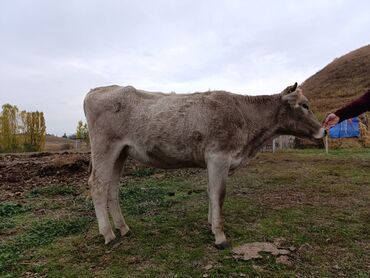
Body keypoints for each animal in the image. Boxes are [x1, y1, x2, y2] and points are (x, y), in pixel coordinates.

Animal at [83, 83, 324, 250]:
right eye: (304, 105)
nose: (323, 130)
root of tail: (98, 89)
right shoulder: (219, 156)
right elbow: (219, 194)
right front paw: (220, 236)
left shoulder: (213, 160)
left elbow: (210, 192)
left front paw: (210, 225)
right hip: (104, 147)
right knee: (98, 186)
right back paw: (108, 235)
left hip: (121, 152)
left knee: (112, 188)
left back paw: (123, 228)